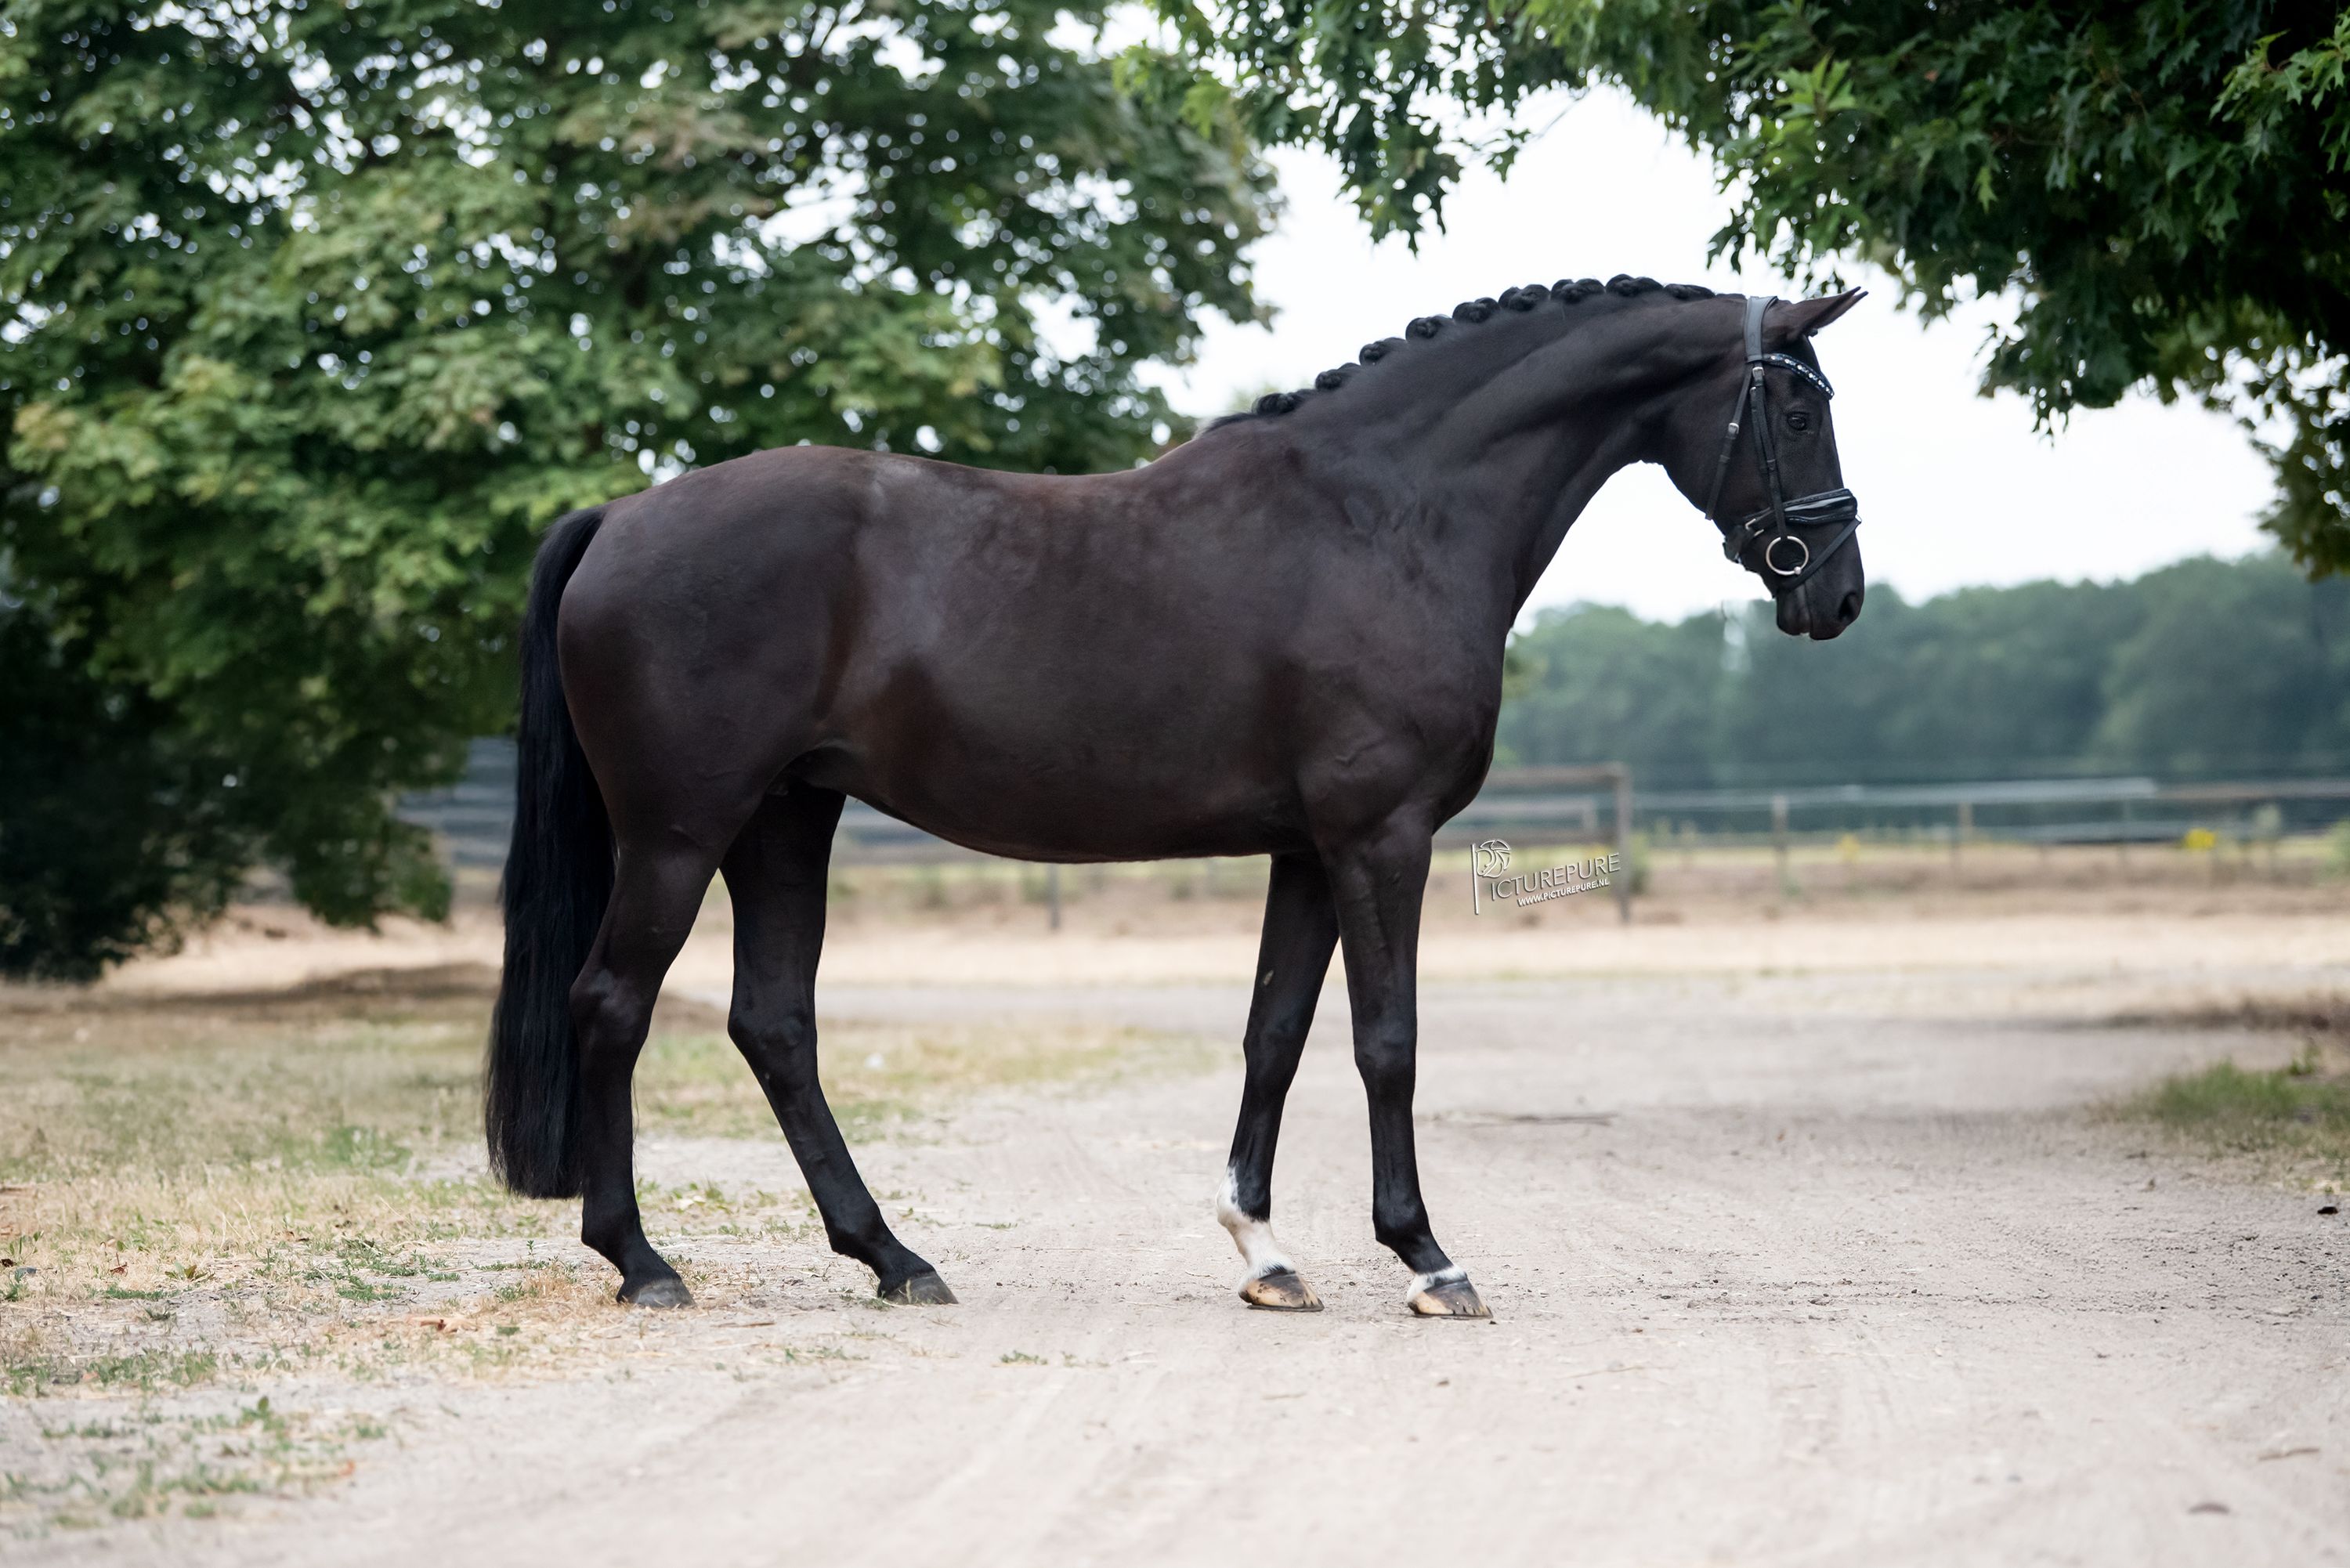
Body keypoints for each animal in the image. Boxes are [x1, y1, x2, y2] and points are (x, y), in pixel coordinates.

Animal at [484, 276, 1868, 1318]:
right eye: (1799, 406)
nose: (1837, 593)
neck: (1388, 513)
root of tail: (623, 515)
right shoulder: (1382, 839)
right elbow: (1387, 1041)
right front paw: (1429, 1259)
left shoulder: (1310, 850)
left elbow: (1276, 1035)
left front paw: (1266, 1254)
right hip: (680, 832)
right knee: (612, 1005)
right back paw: (643, 1261)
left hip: (783, 822)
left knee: (774, 1026)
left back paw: (893, 1257)